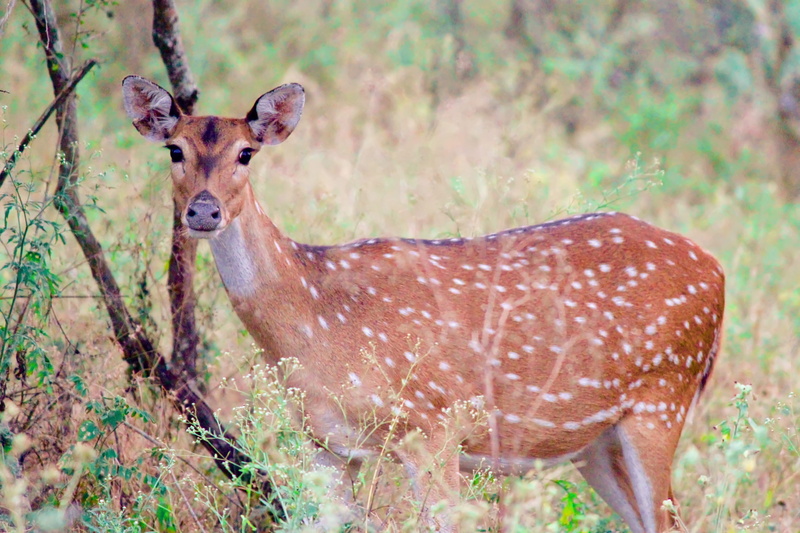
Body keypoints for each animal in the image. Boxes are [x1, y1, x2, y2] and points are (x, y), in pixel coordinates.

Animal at [122, 75, 725, 533]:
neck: (317, 324)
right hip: (597, 443)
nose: (204, 211)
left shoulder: (433, 424)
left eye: (246, 153)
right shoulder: (324, 444)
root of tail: (717, 272)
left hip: (662, 398)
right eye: (174, 150)